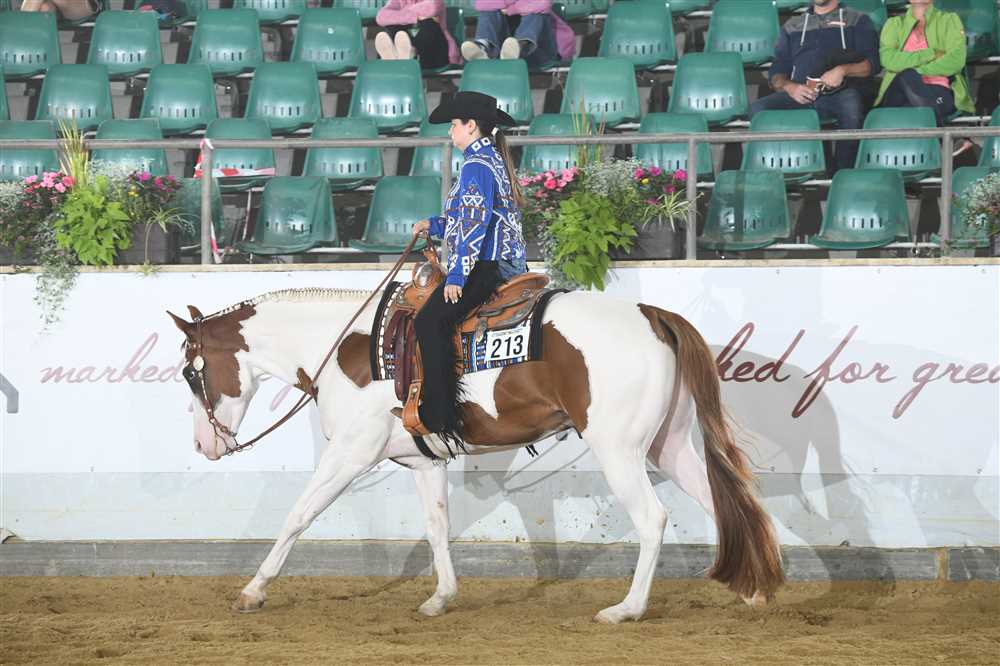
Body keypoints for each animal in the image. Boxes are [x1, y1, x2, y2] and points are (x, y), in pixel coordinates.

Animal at [167, 285, 784, 624]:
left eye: (191, 374)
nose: (203, 445)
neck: (343, 349)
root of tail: (652, 314)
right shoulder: (423, 462)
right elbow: (437, 527)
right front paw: (441, 598)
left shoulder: (350, 453)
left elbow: (299, 515)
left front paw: (252, 591)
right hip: (668, 443)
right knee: (723, 501)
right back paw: (755, 591)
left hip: (619, 448)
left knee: (653, 518)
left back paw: (626, 609)